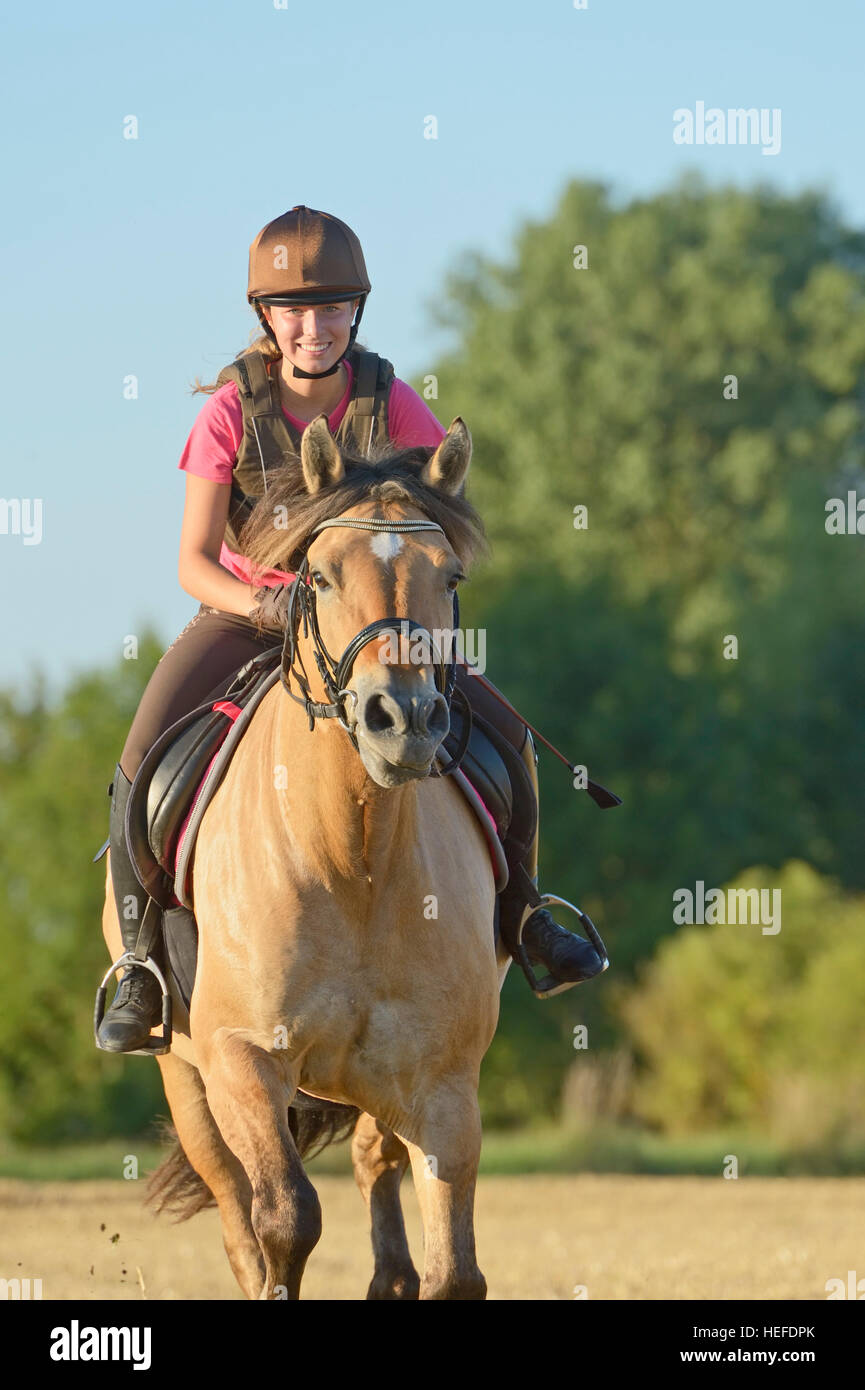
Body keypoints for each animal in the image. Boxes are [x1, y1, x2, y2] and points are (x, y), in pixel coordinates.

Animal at [102, 417, 511, 1295]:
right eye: (318, 576)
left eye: (450, 574)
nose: (403, 720)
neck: (351, 856)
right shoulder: (243, 1060)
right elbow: (285, 1221)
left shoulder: (442, 1084)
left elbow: (455, 1271)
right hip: (188, 1083)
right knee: (238, 1219)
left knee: (372, 1168)